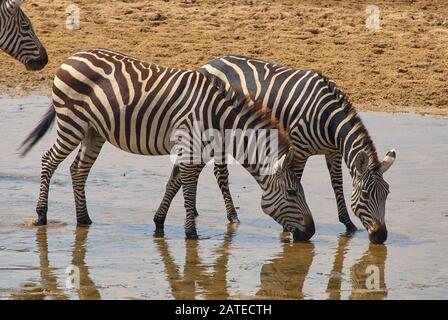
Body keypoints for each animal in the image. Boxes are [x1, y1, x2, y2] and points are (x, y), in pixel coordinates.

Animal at [19, 48, 316, 240]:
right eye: (292, 193)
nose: (311, 232)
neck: (217, 119)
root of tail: (72, 57)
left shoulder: (196, 153)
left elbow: (174, 184)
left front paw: (159, 223)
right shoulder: (189, 148)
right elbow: (188, 189)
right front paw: (191, 234)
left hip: (94, 131)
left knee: (78, 170)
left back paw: (84, 219)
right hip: (72, 123)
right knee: (48, 161)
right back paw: (41, 215)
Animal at [158, 55, 396, 245]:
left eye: (387, 194)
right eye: (366, 195)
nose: (381, 236)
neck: (328, 120)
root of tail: (211, 62)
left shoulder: (333, 152)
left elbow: (337, 184)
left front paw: (347, 223)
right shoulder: (299, 149)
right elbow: (296, 180)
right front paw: (288, 227)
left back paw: (197, 210)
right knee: (220, 173)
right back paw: (232, 216)